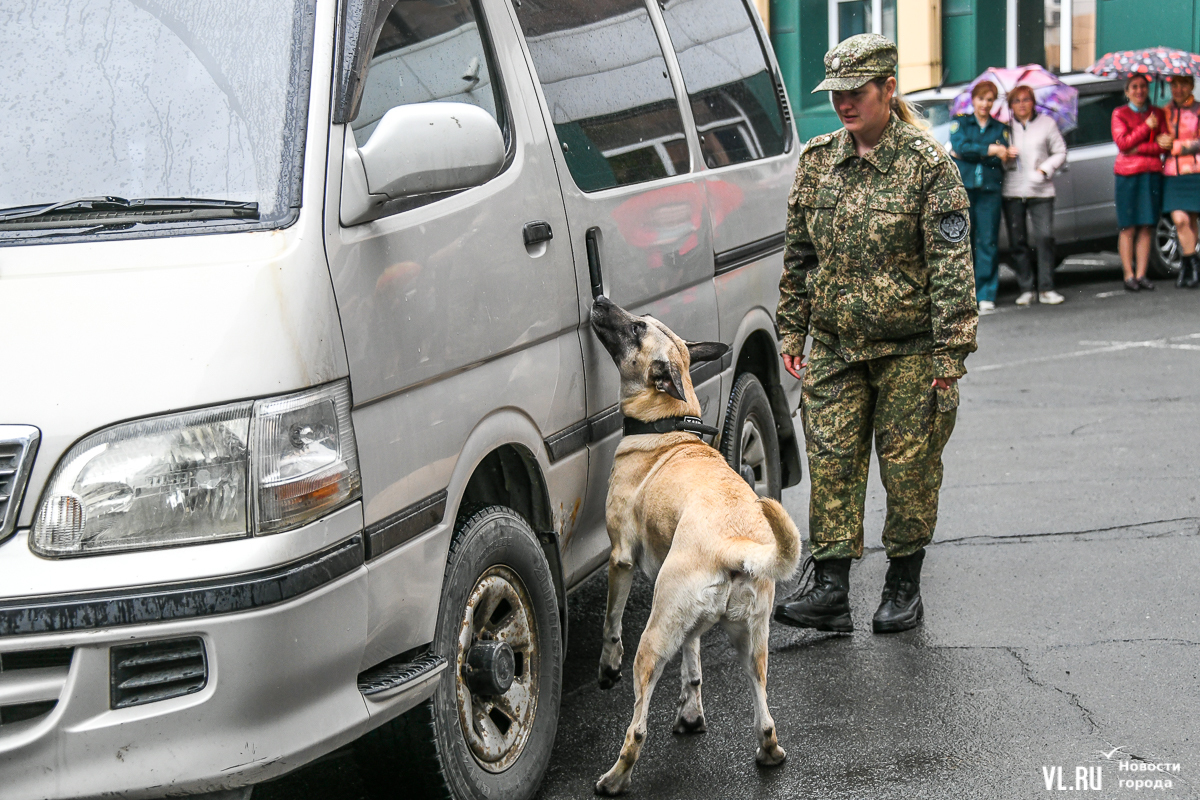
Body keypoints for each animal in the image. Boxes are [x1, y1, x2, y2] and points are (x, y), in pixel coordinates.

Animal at [588, 298, 801, 796]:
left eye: (637, 327)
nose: (601, 301)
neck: (666, 425)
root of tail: (735, 548)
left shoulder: (620, 559)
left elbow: (610, 623)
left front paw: (607, 665)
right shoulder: (690, 624)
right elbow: (693, 660)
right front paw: (690, 710)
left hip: (651, 641)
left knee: (638, 727)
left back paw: (615, 777)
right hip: (751, 645)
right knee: (764, 712)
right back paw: (767, 751)